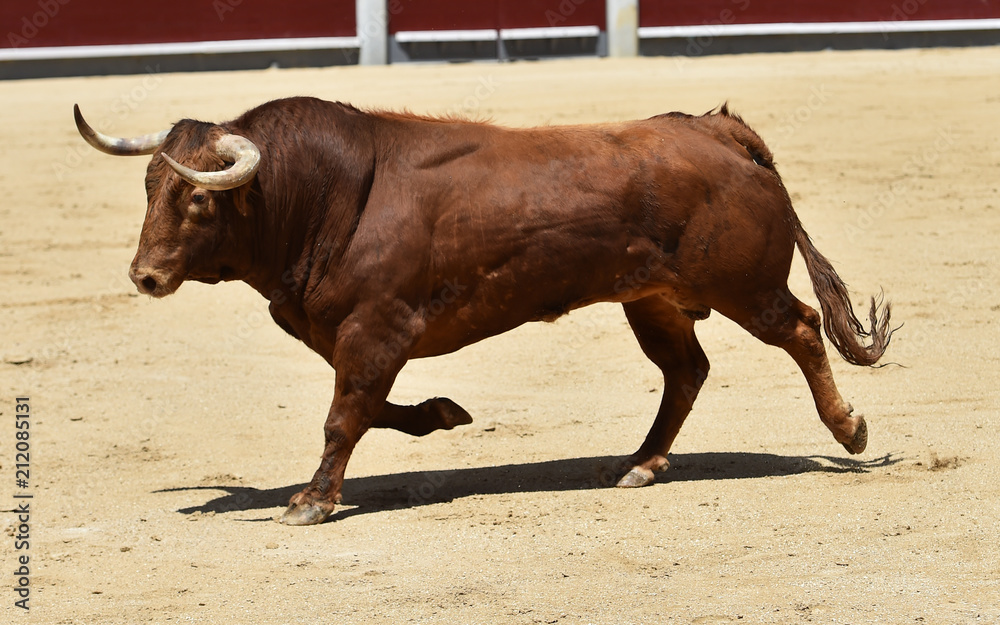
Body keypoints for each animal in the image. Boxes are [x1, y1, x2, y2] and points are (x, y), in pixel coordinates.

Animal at [74, 97, 896, 524]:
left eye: (199, 199)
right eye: (149, 187)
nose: (145, 275)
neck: (328, 195)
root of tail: (714, 127)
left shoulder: (376, 329)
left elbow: (344, 414)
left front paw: (312, 500)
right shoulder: (351, 334)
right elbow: (369, 407)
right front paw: (443, 413)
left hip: (742, 288)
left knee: (800, 330)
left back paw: (849, 429)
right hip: (654, 300)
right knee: (685, 371)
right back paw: (640, 464)